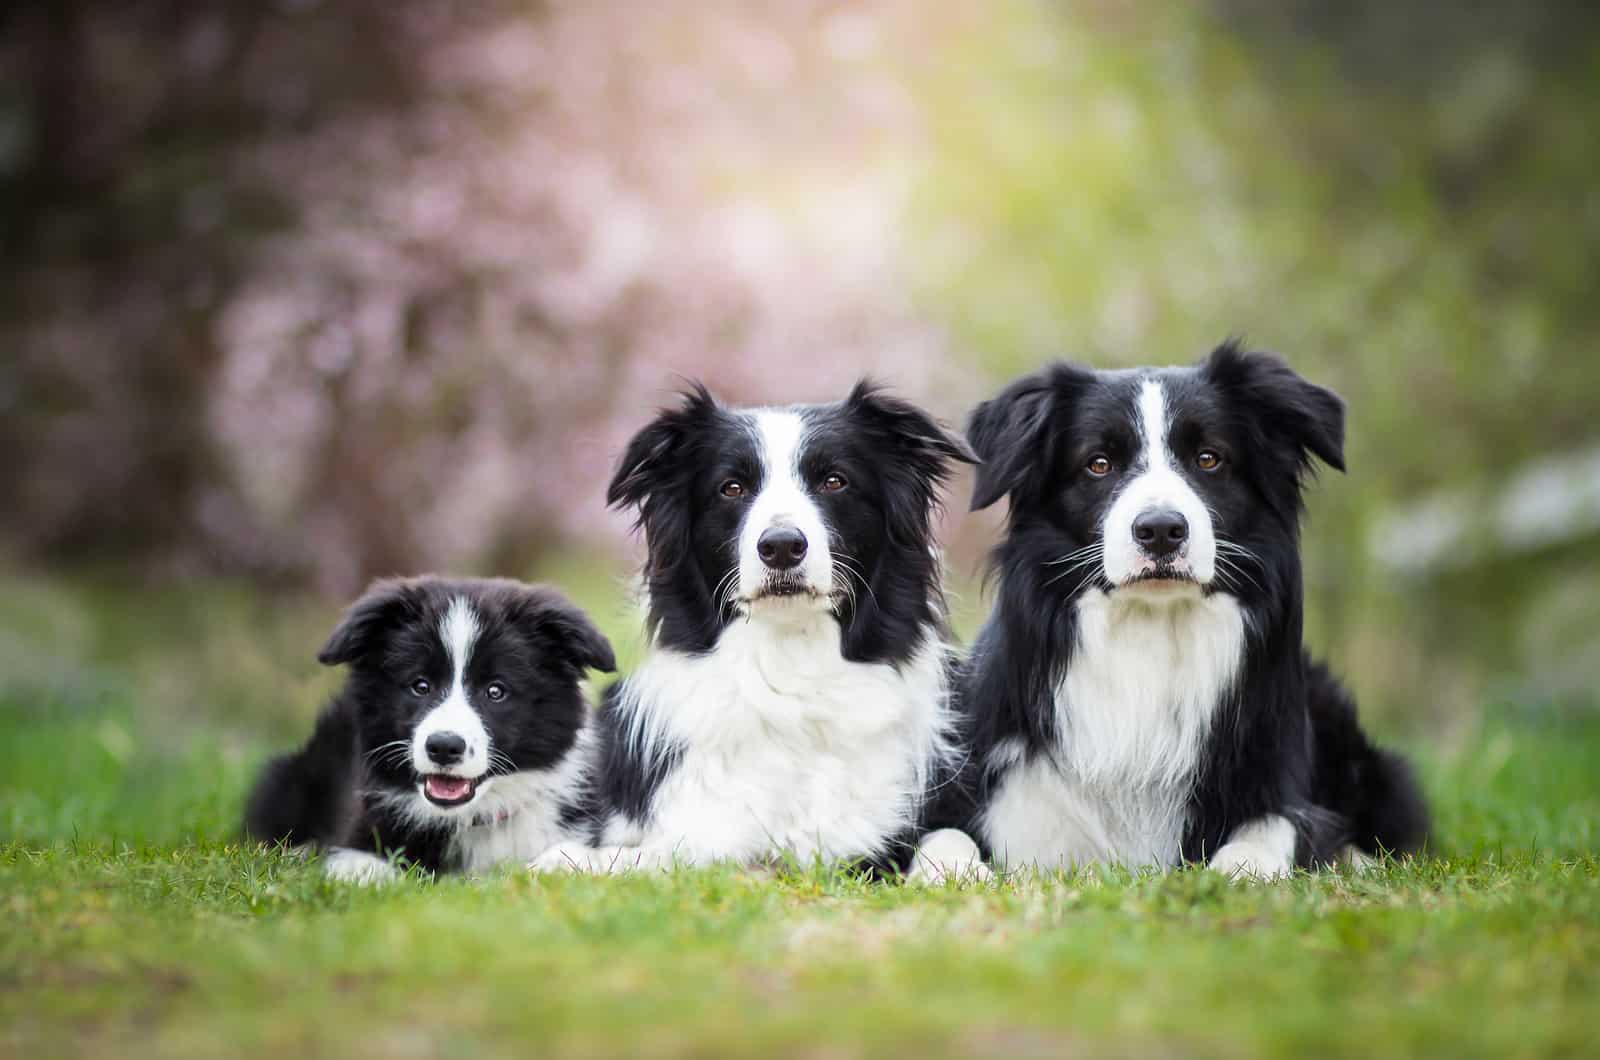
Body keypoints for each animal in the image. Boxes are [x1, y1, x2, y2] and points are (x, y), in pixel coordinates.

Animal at [531, 382, 979, 877]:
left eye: (834, 481)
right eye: (732, 488)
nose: (782, 546)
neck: (791, 664)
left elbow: (951, 836)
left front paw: (956, 871)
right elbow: (665, 852)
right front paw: (569, 858)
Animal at [940, 342, 1433, 877]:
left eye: (1209, 459)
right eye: (1098, 464)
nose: (1160, 530)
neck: (1150, 635)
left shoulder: (1273, 777)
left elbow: (1272, 829)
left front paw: (1239, 873)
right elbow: (945, 837)